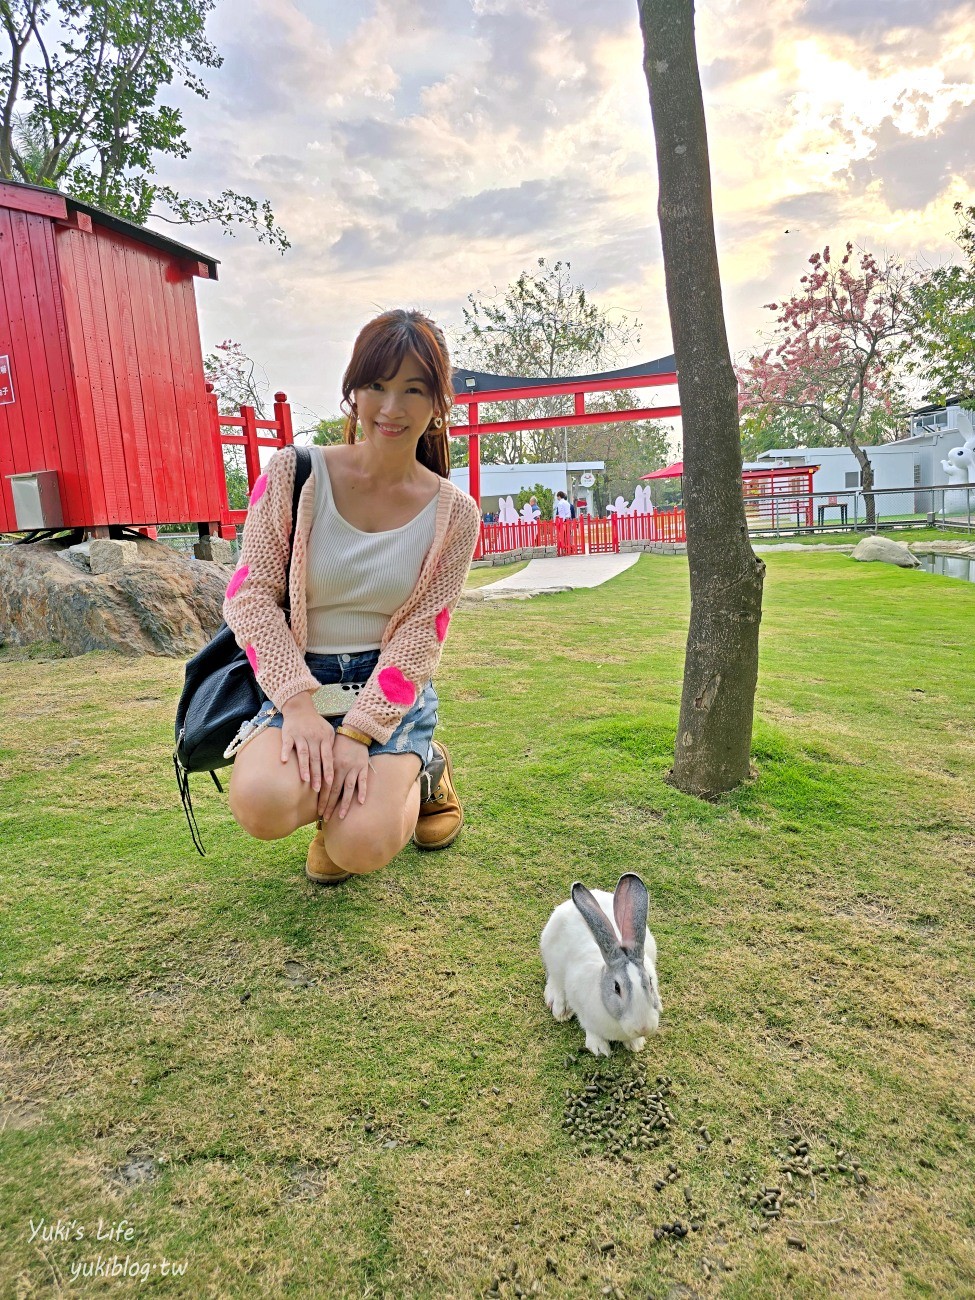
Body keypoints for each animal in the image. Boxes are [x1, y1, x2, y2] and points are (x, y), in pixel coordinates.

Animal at [543, 873, 665, 1055]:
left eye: (650, 982)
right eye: (616, 988)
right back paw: (559, 1006)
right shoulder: (581, 1007)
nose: (643, 1028)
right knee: (554, 979)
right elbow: (590, 1028)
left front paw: (636, 1043)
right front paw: (599, 1048)